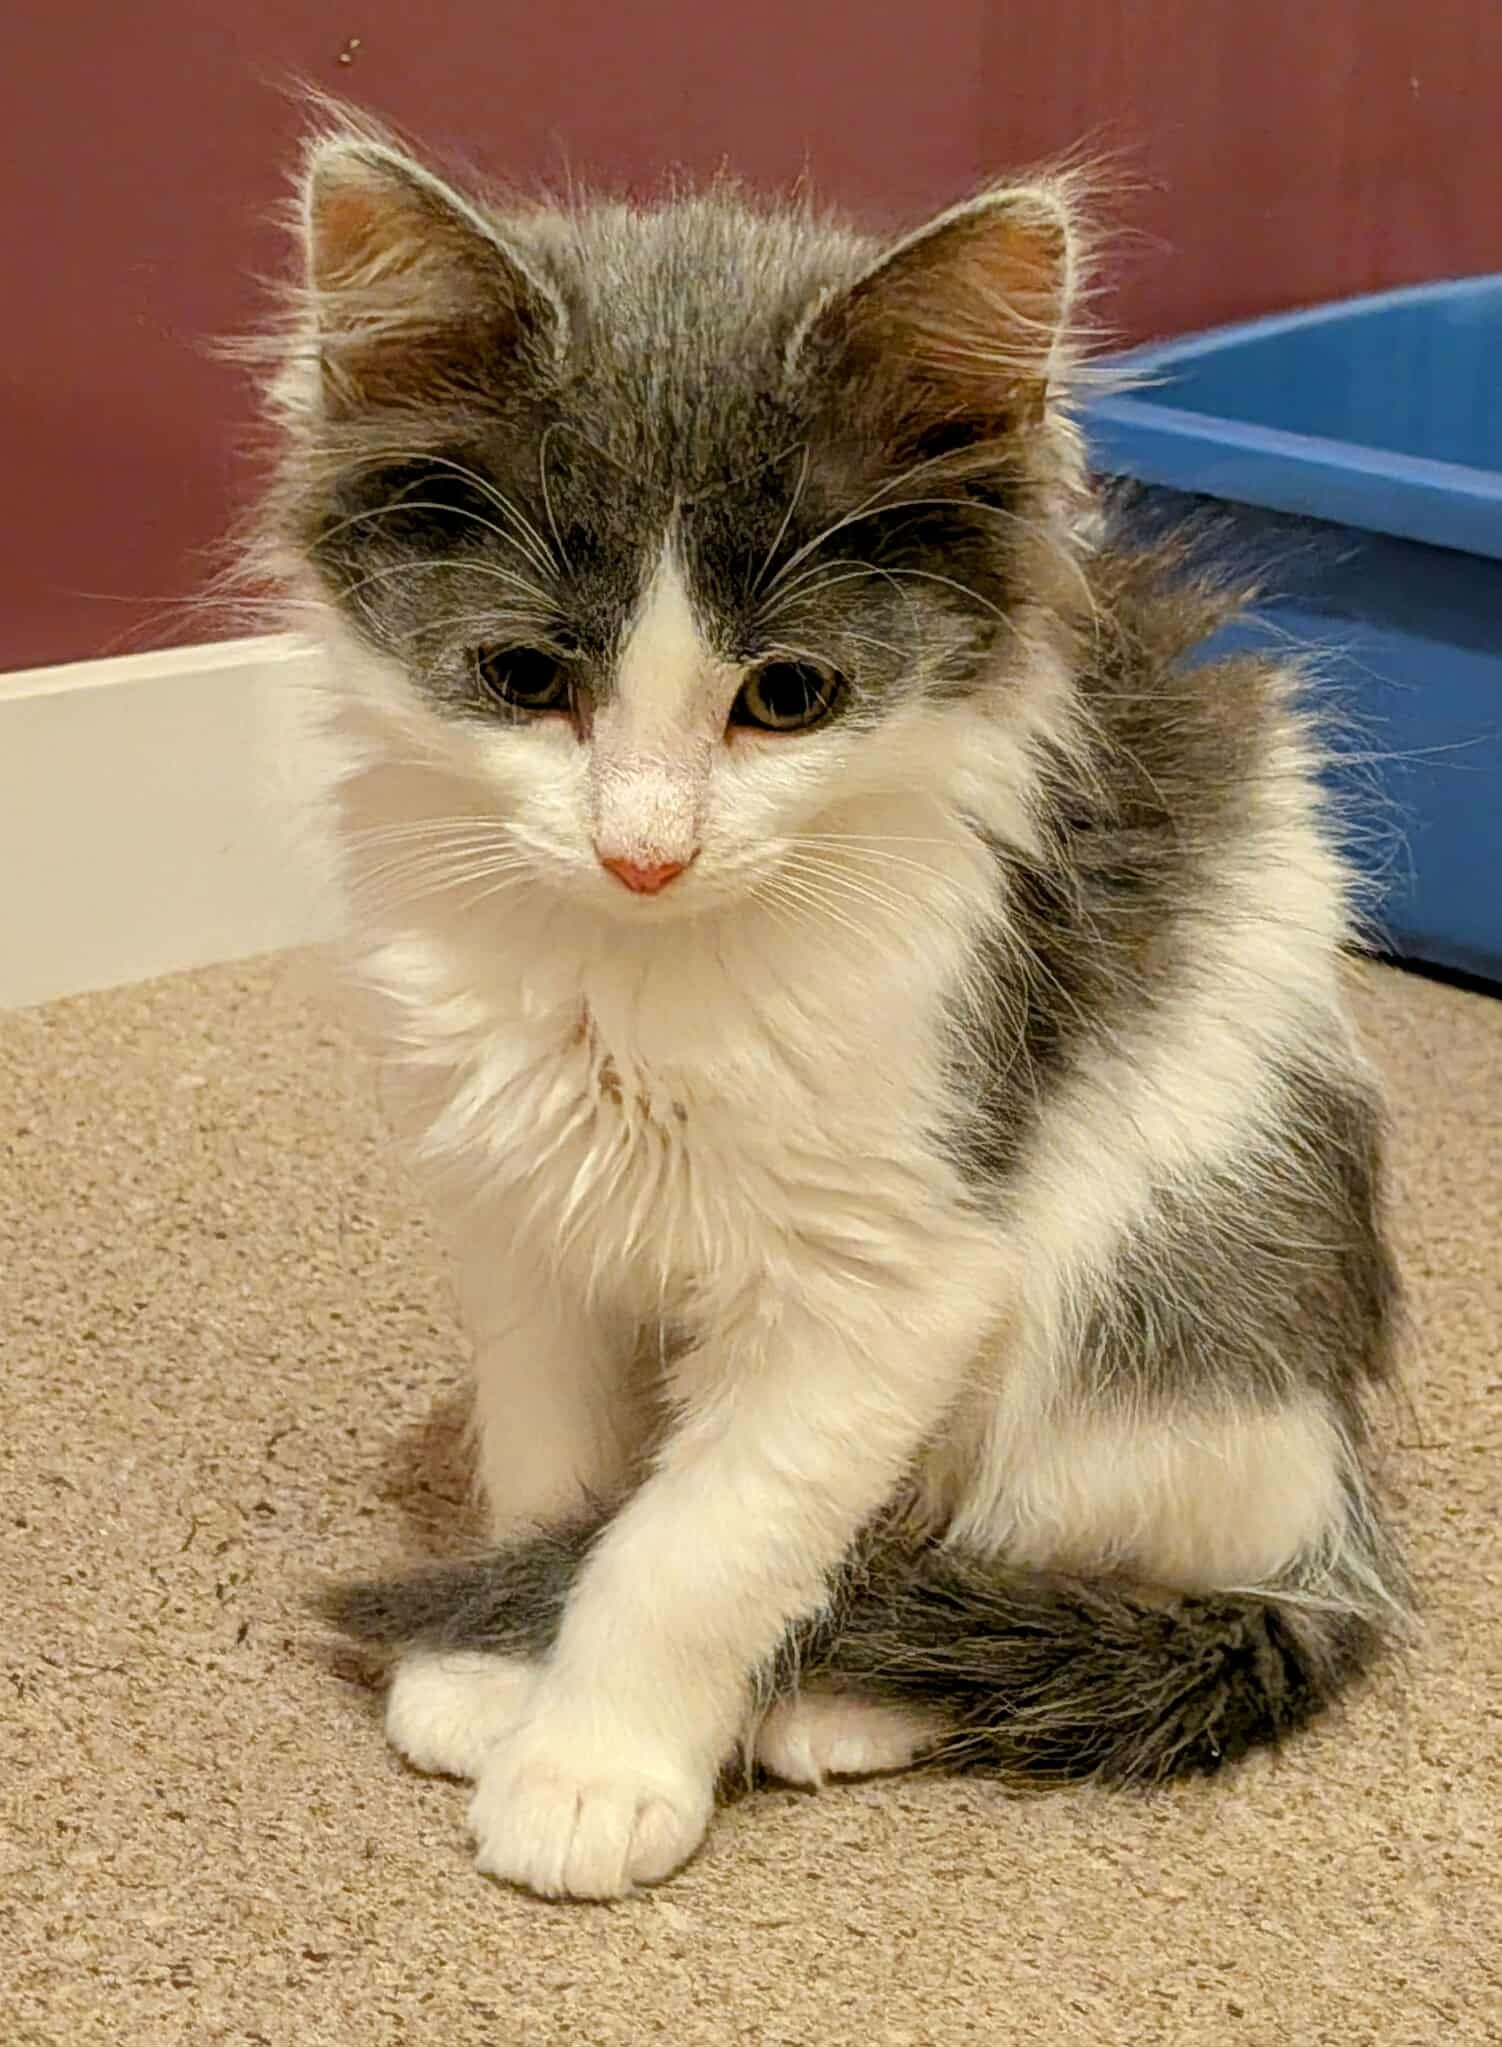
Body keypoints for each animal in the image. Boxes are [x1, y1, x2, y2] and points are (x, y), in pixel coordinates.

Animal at [255, 111, 1408, 1900]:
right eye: (524, 679)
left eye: (786, 696)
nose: (642, 849)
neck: (639, 978)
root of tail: (1331, 1526)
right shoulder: (526, 1205)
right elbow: (564, 1468)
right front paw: (499, 1659)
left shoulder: (886, 1268)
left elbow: (694, 1538)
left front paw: (590, 1763)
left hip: (1150, 1290)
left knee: (1023, 1553)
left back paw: (844, 1699)